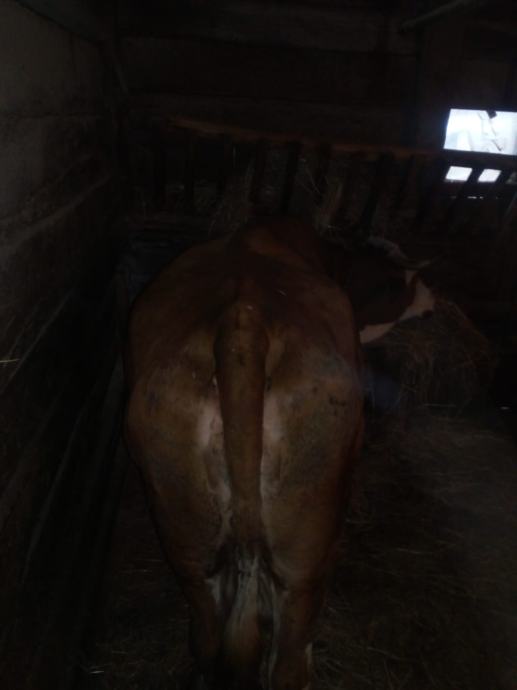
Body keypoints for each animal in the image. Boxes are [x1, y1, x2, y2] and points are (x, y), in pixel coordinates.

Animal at [125, 217, 434, 690]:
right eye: (407, 282)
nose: (434, 305)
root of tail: (242, 320)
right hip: (305, 550)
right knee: (288, 658)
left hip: (184, 532)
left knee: (206, 638)